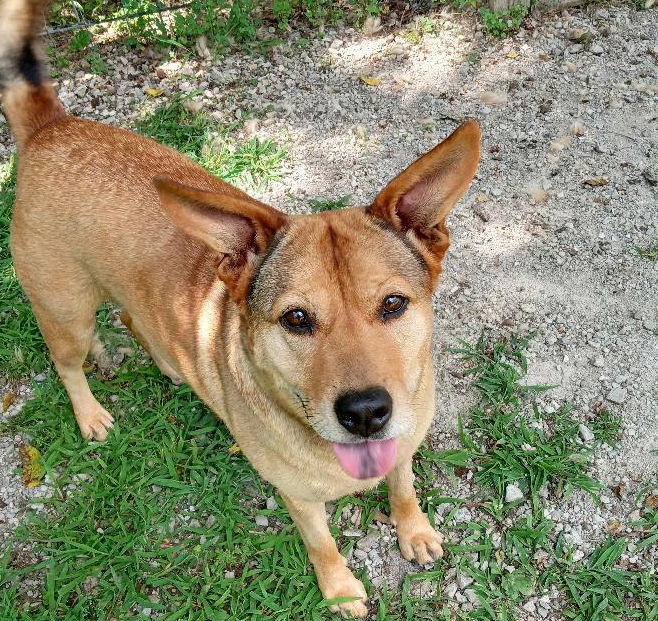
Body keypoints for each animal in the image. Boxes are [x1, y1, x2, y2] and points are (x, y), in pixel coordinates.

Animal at [2, 0, 480, 616]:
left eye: (394, 304)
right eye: (296, 319)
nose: (367, 413)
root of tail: (50, 127)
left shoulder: (401, 449)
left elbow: (403, 488)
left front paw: (414, 530)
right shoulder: (298, 498)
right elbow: (323, 545)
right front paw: (340, 589)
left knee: (132, 318)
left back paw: (165, 365)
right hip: (67, 313)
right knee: (67, 363)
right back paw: (90, 414)